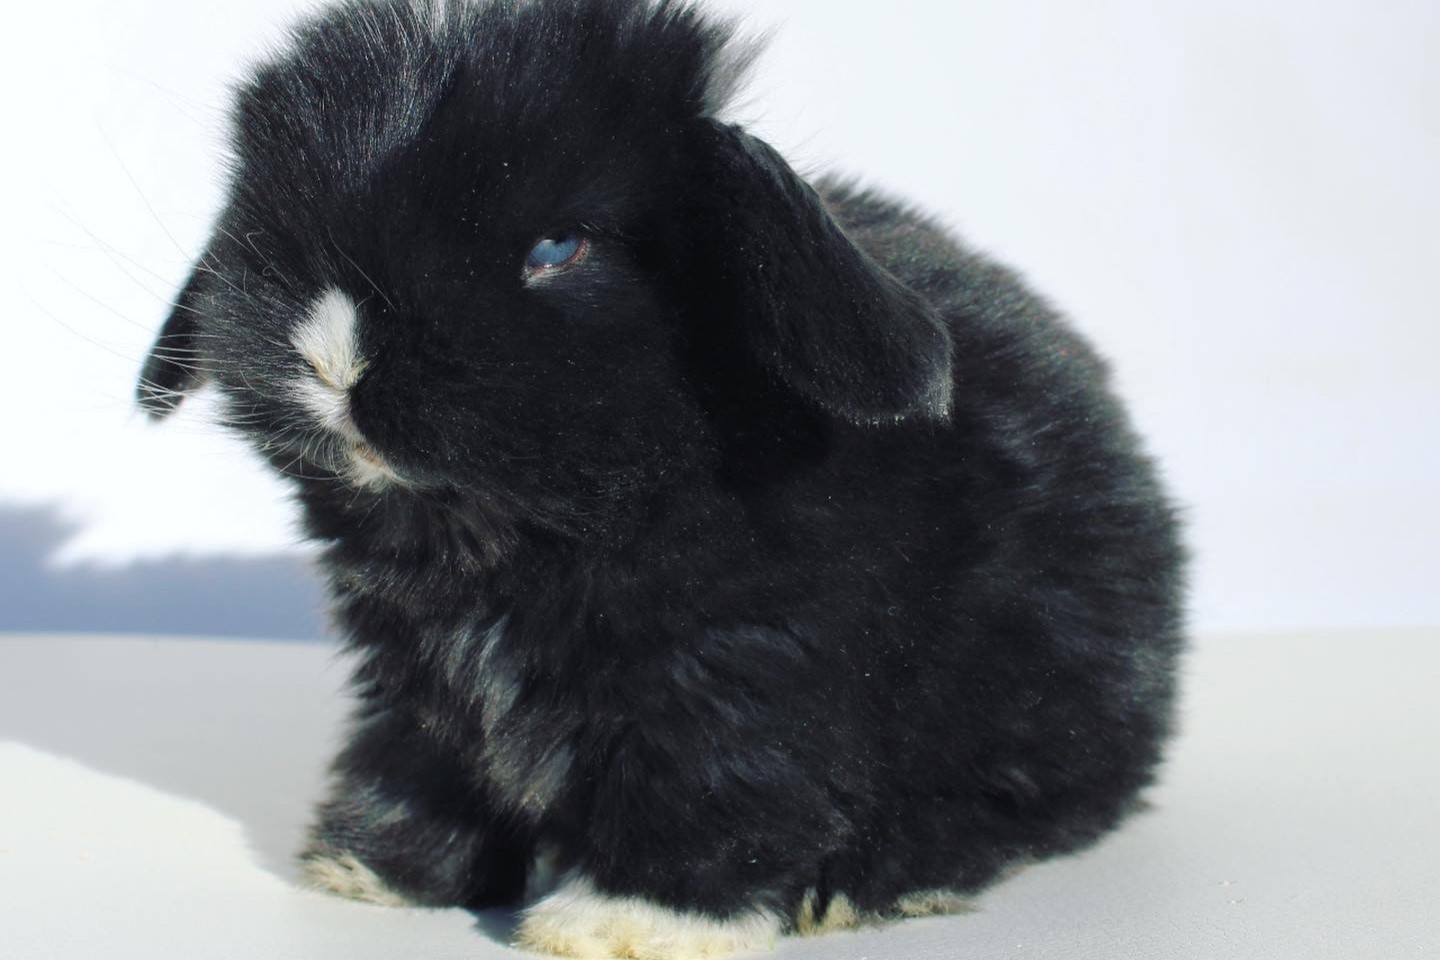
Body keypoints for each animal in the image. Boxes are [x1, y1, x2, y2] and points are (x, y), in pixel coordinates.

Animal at [136, 0, 1186, 956]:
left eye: (558, 248)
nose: (332, 355)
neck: (503, 531)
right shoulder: (413, 685)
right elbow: (418, 766)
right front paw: (373, 870)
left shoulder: (737, 670)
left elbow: (705, 785)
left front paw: (621, 923)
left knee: (1021, 805)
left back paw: (866, 883)